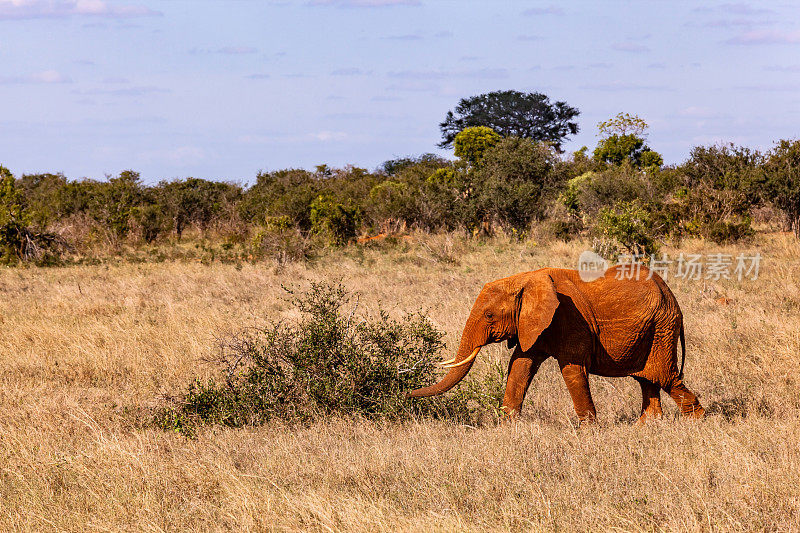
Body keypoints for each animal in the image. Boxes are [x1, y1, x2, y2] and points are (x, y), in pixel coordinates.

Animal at [410, 264, 704, 422]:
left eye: (490, 316)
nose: (408, 393)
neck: (525, 279)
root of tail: (670, 293)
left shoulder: (570, 317)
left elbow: (573, 371)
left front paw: (589, 433)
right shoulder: (532, 325)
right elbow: (520, 367)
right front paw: (507, 427)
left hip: (662, 328)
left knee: (666, 378)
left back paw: (696, 421)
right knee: (648, 380)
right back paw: (646, 427)